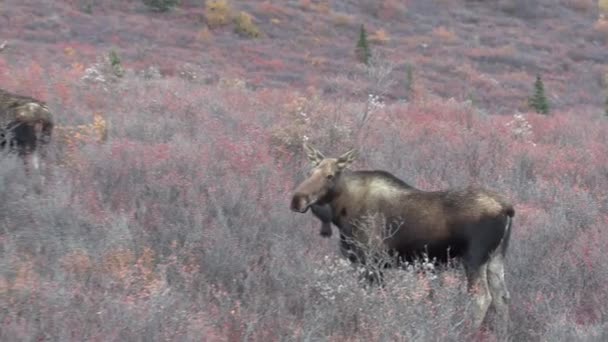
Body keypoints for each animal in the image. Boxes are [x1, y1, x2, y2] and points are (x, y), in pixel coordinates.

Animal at [290, 142, 512, 332]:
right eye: (310, 172)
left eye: (329, 175)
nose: (297, 199)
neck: (341, 212)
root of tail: (507, 208)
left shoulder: (372, 262)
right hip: (496, 258)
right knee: (502, 297)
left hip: (474, 258)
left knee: (482, 297)